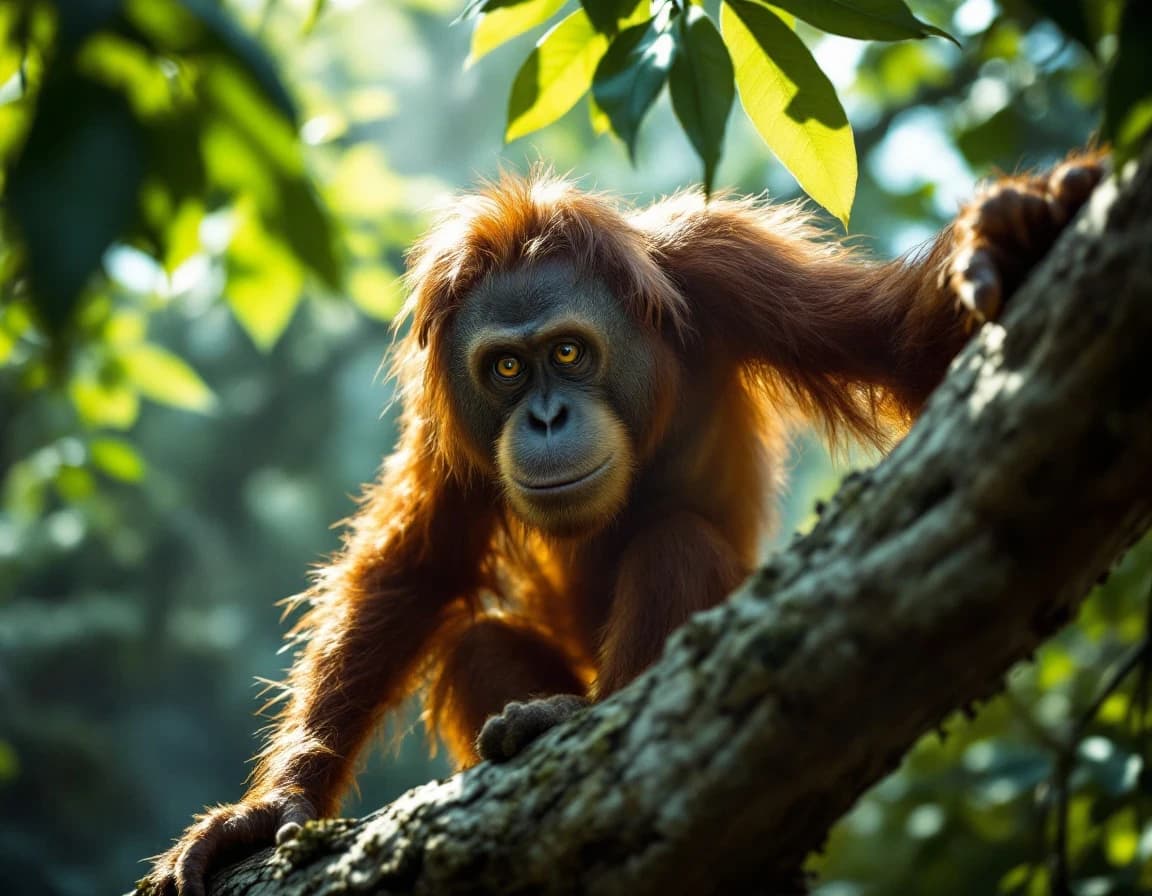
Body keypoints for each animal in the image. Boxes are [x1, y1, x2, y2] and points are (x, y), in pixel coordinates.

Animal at [140, 153, 1104, 896]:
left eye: (568, 352)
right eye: (506, 368)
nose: (546, 418)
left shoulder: (722, 263)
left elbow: (897, 345)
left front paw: (1018, 231)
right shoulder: (445, 395)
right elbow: (416, 569)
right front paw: (273, 811)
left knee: (674, 541)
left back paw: (569, 722)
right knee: (475, 642)